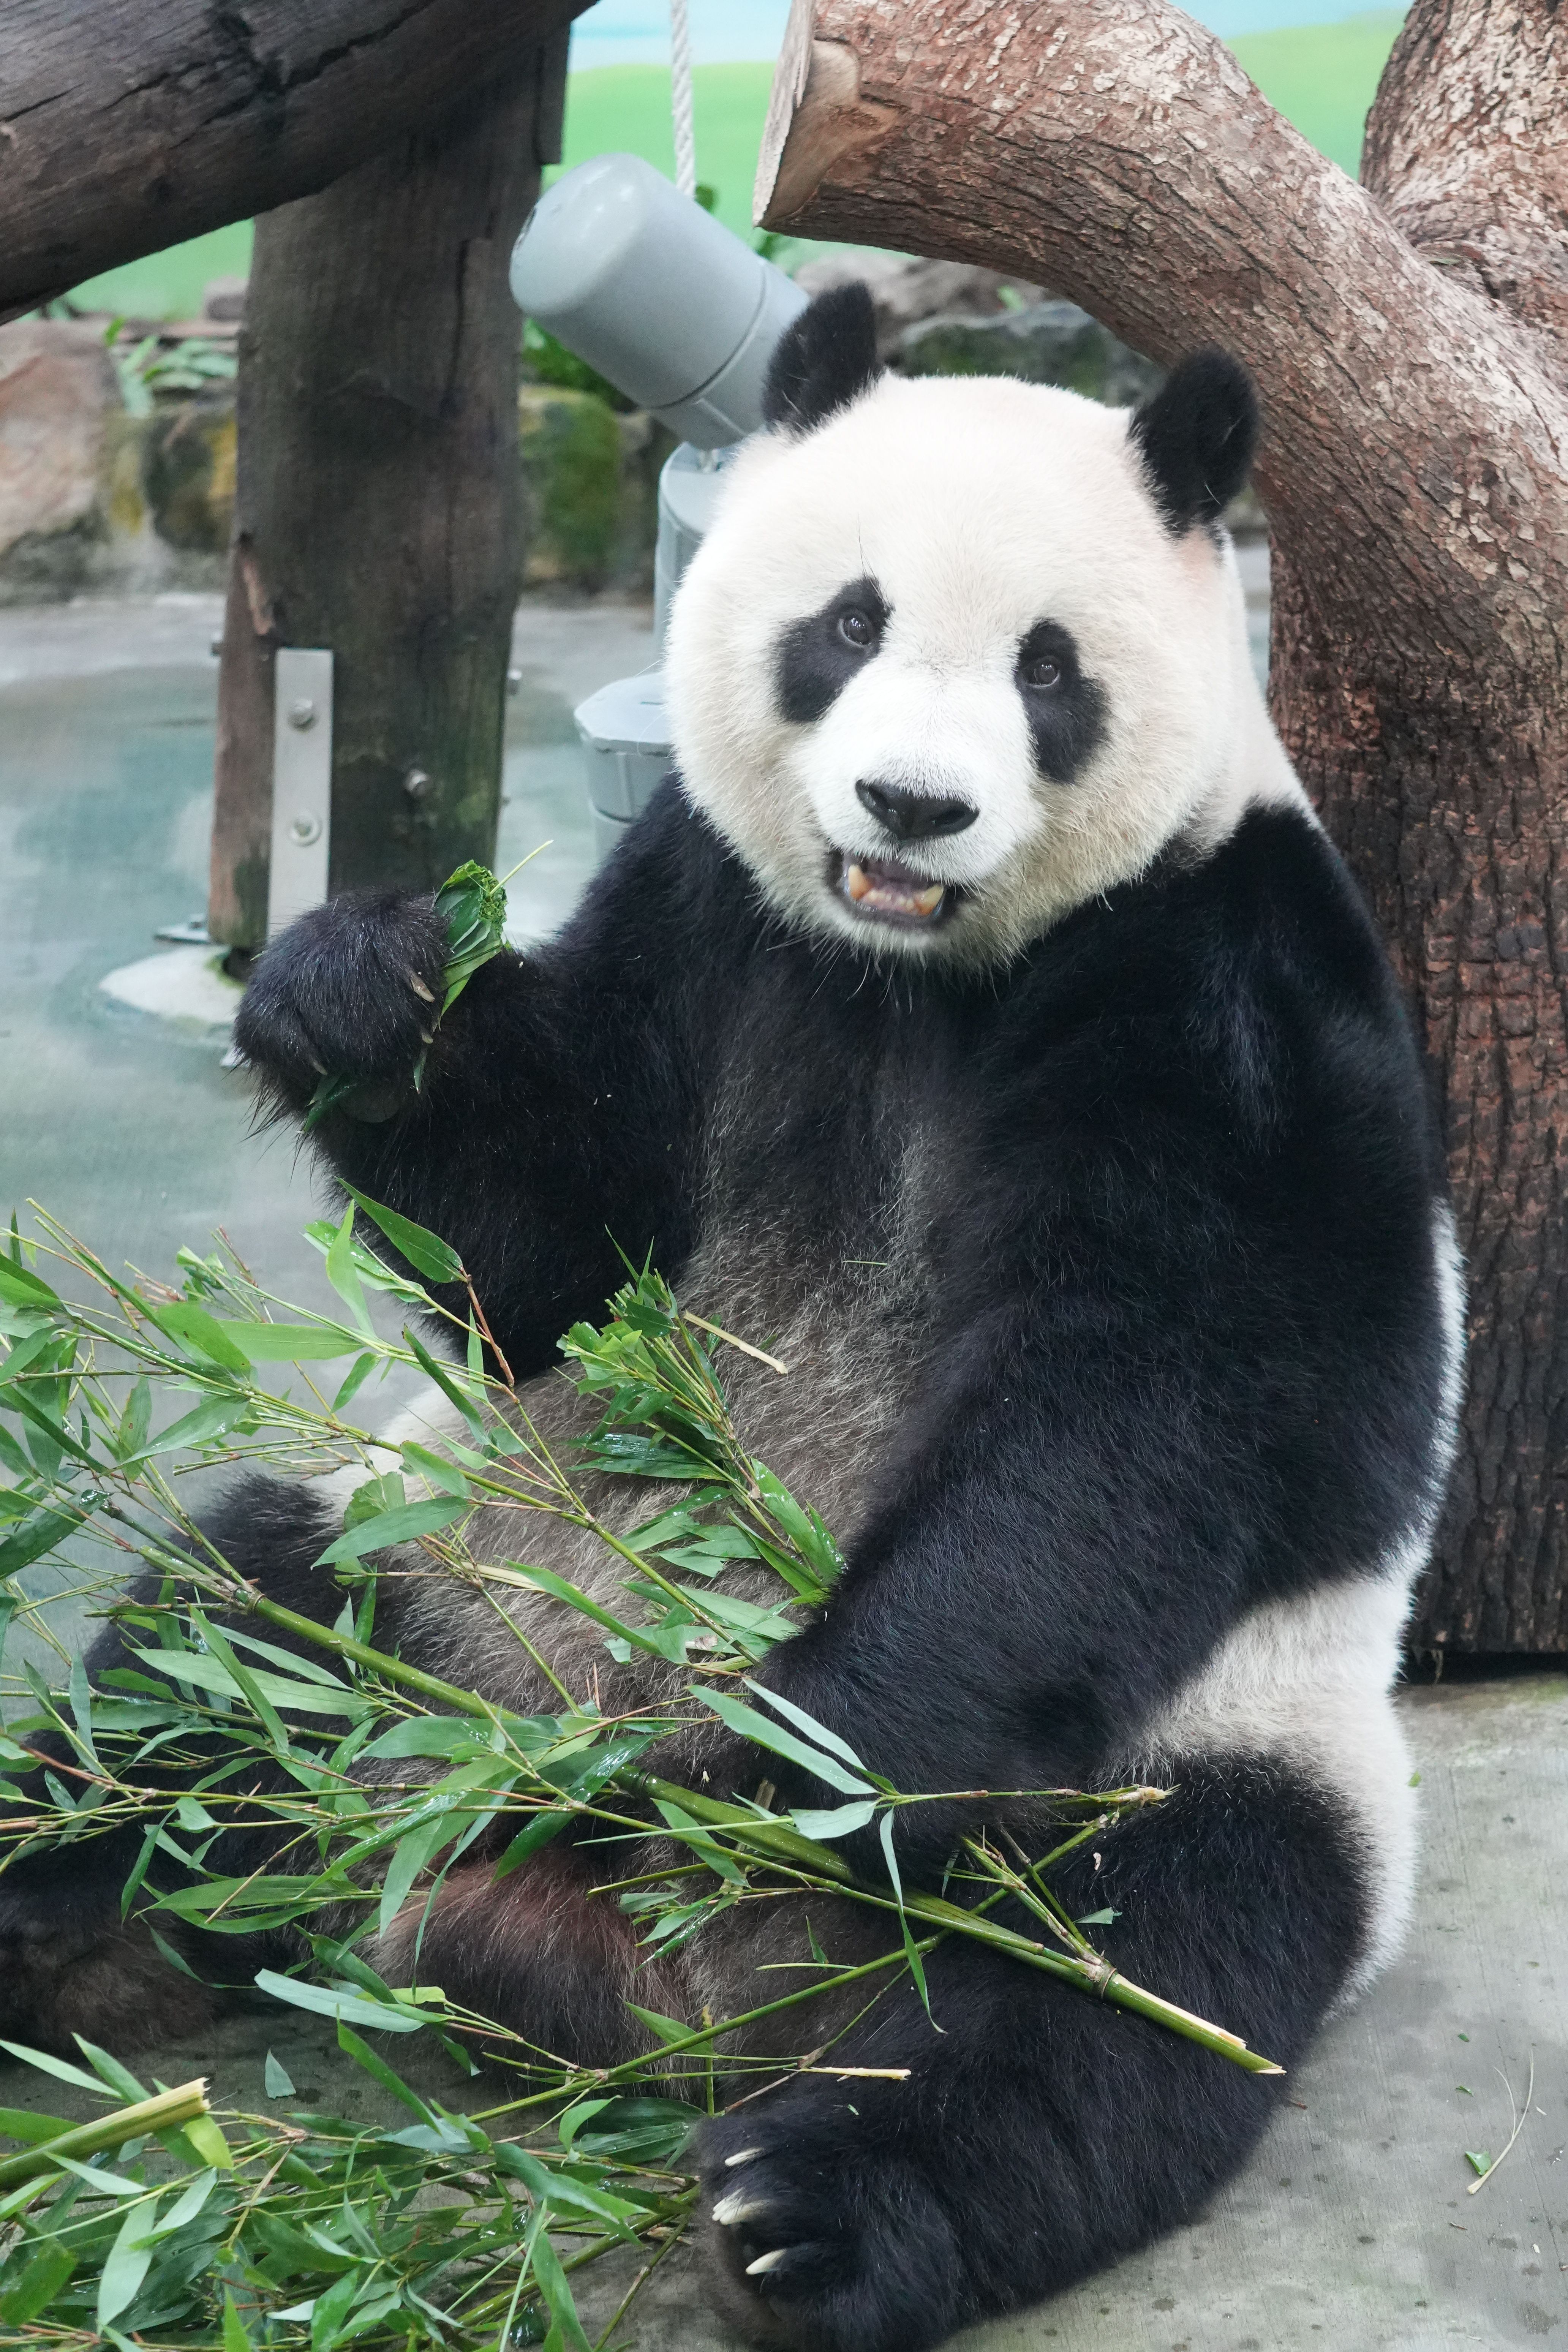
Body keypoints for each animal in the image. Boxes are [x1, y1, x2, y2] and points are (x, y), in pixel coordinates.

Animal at [0, 286, 1461, 2352]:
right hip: (445, 1585)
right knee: (215, 1654)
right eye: (845, 623)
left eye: (1047, 669)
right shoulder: (704, 909)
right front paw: (358, 986)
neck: (909, 964)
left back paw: (810, 2197)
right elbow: (553, 1255)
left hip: (1200, 1754)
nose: (914, 804)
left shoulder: (1213, 980)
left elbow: (1154, 1407)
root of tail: (653, 1997)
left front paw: (776, 1756)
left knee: (1101, 1993)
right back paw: (71, 1904)